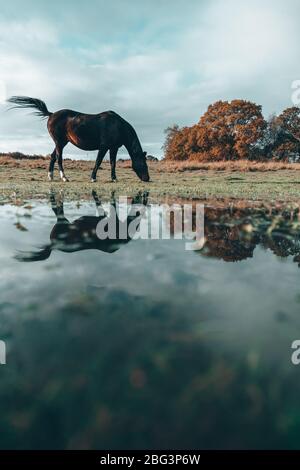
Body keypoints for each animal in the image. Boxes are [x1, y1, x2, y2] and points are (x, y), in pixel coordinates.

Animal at [7, 96, 150, 183]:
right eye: (144, 164)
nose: (147, 178)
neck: (117, 125)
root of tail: (51, 114)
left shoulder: (113, 148)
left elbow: (113, 163)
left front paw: (114, 179)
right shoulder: (103, 147)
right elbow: (98, 161)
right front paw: (93, 178)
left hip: (61, 142)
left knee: (53, 157)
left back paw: (50, 176)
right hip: (60, 143)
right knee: (58, 158)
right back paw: (64, 178)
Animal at [15, 191, 149, 264]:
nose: (141, 195)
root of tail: (54, 246)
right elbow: (109, 204)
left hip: (62, 220)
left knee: (56, 209)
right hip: (62, 221)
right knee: (57, 209)